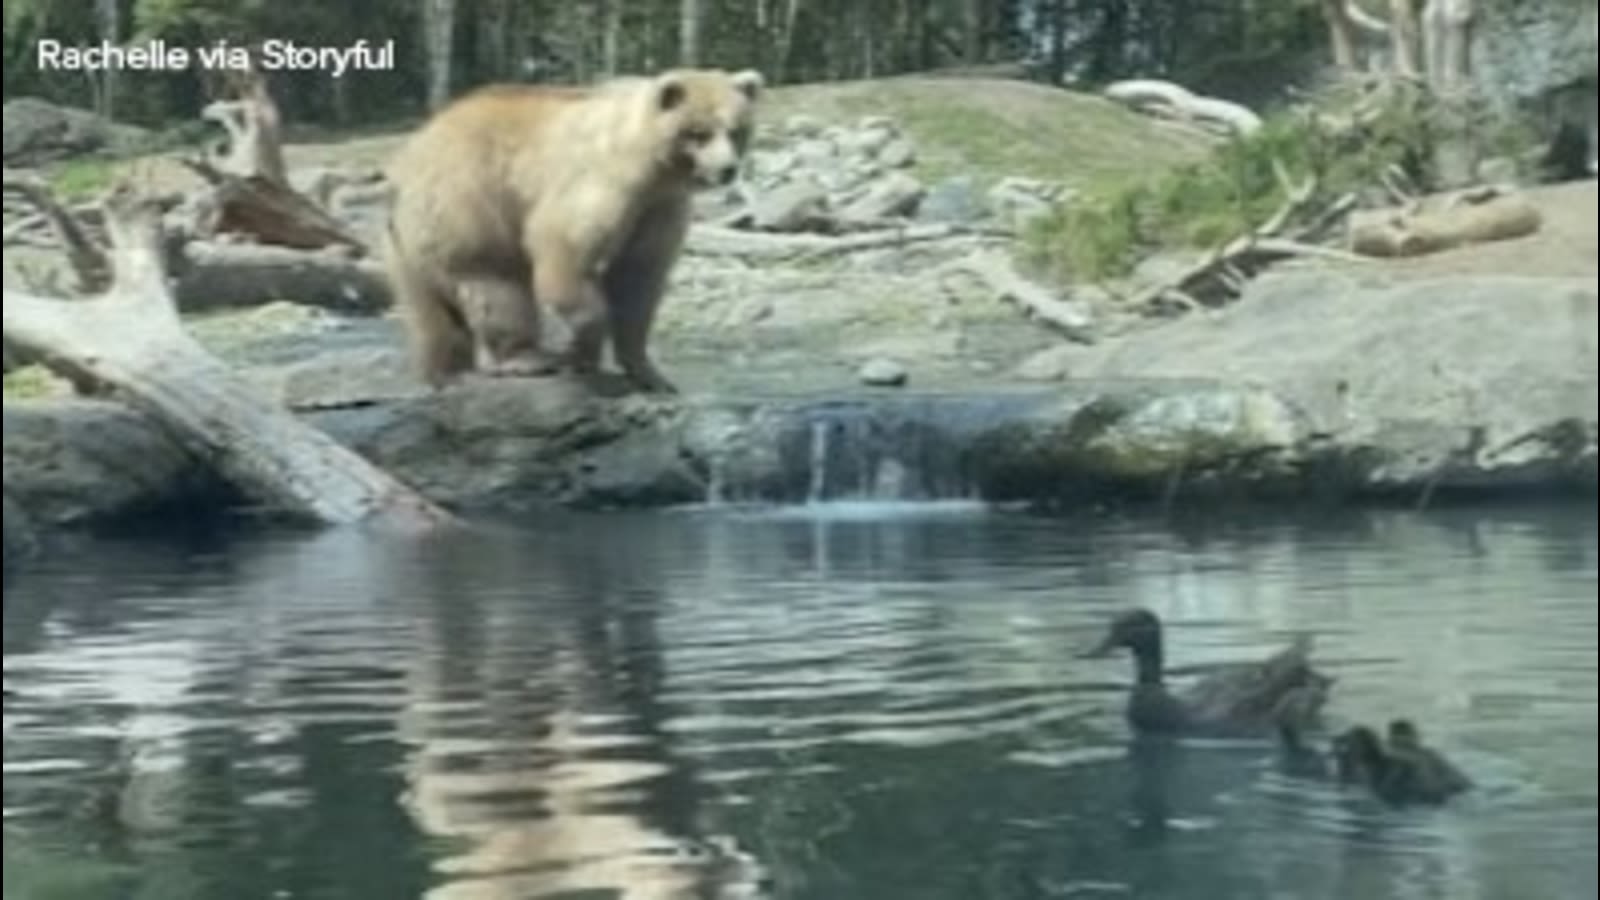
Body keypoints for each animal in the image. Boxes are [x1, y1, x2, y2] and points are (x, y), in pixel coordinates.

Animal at [384, 68, 764, 390]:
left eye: (737, 130)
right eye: (699, 133)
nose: (728, 169)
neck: (654, 169)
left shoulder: (659, 209)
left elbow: (639, 279)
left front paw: (650, 372)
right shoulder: (603, 182)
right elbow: (564, 246)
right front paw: (581, 348)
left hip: (412, 246)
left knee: (431, 313)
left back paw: (444, 372)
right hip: (469, 203)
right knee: (496, 283)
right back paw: (527, 358)